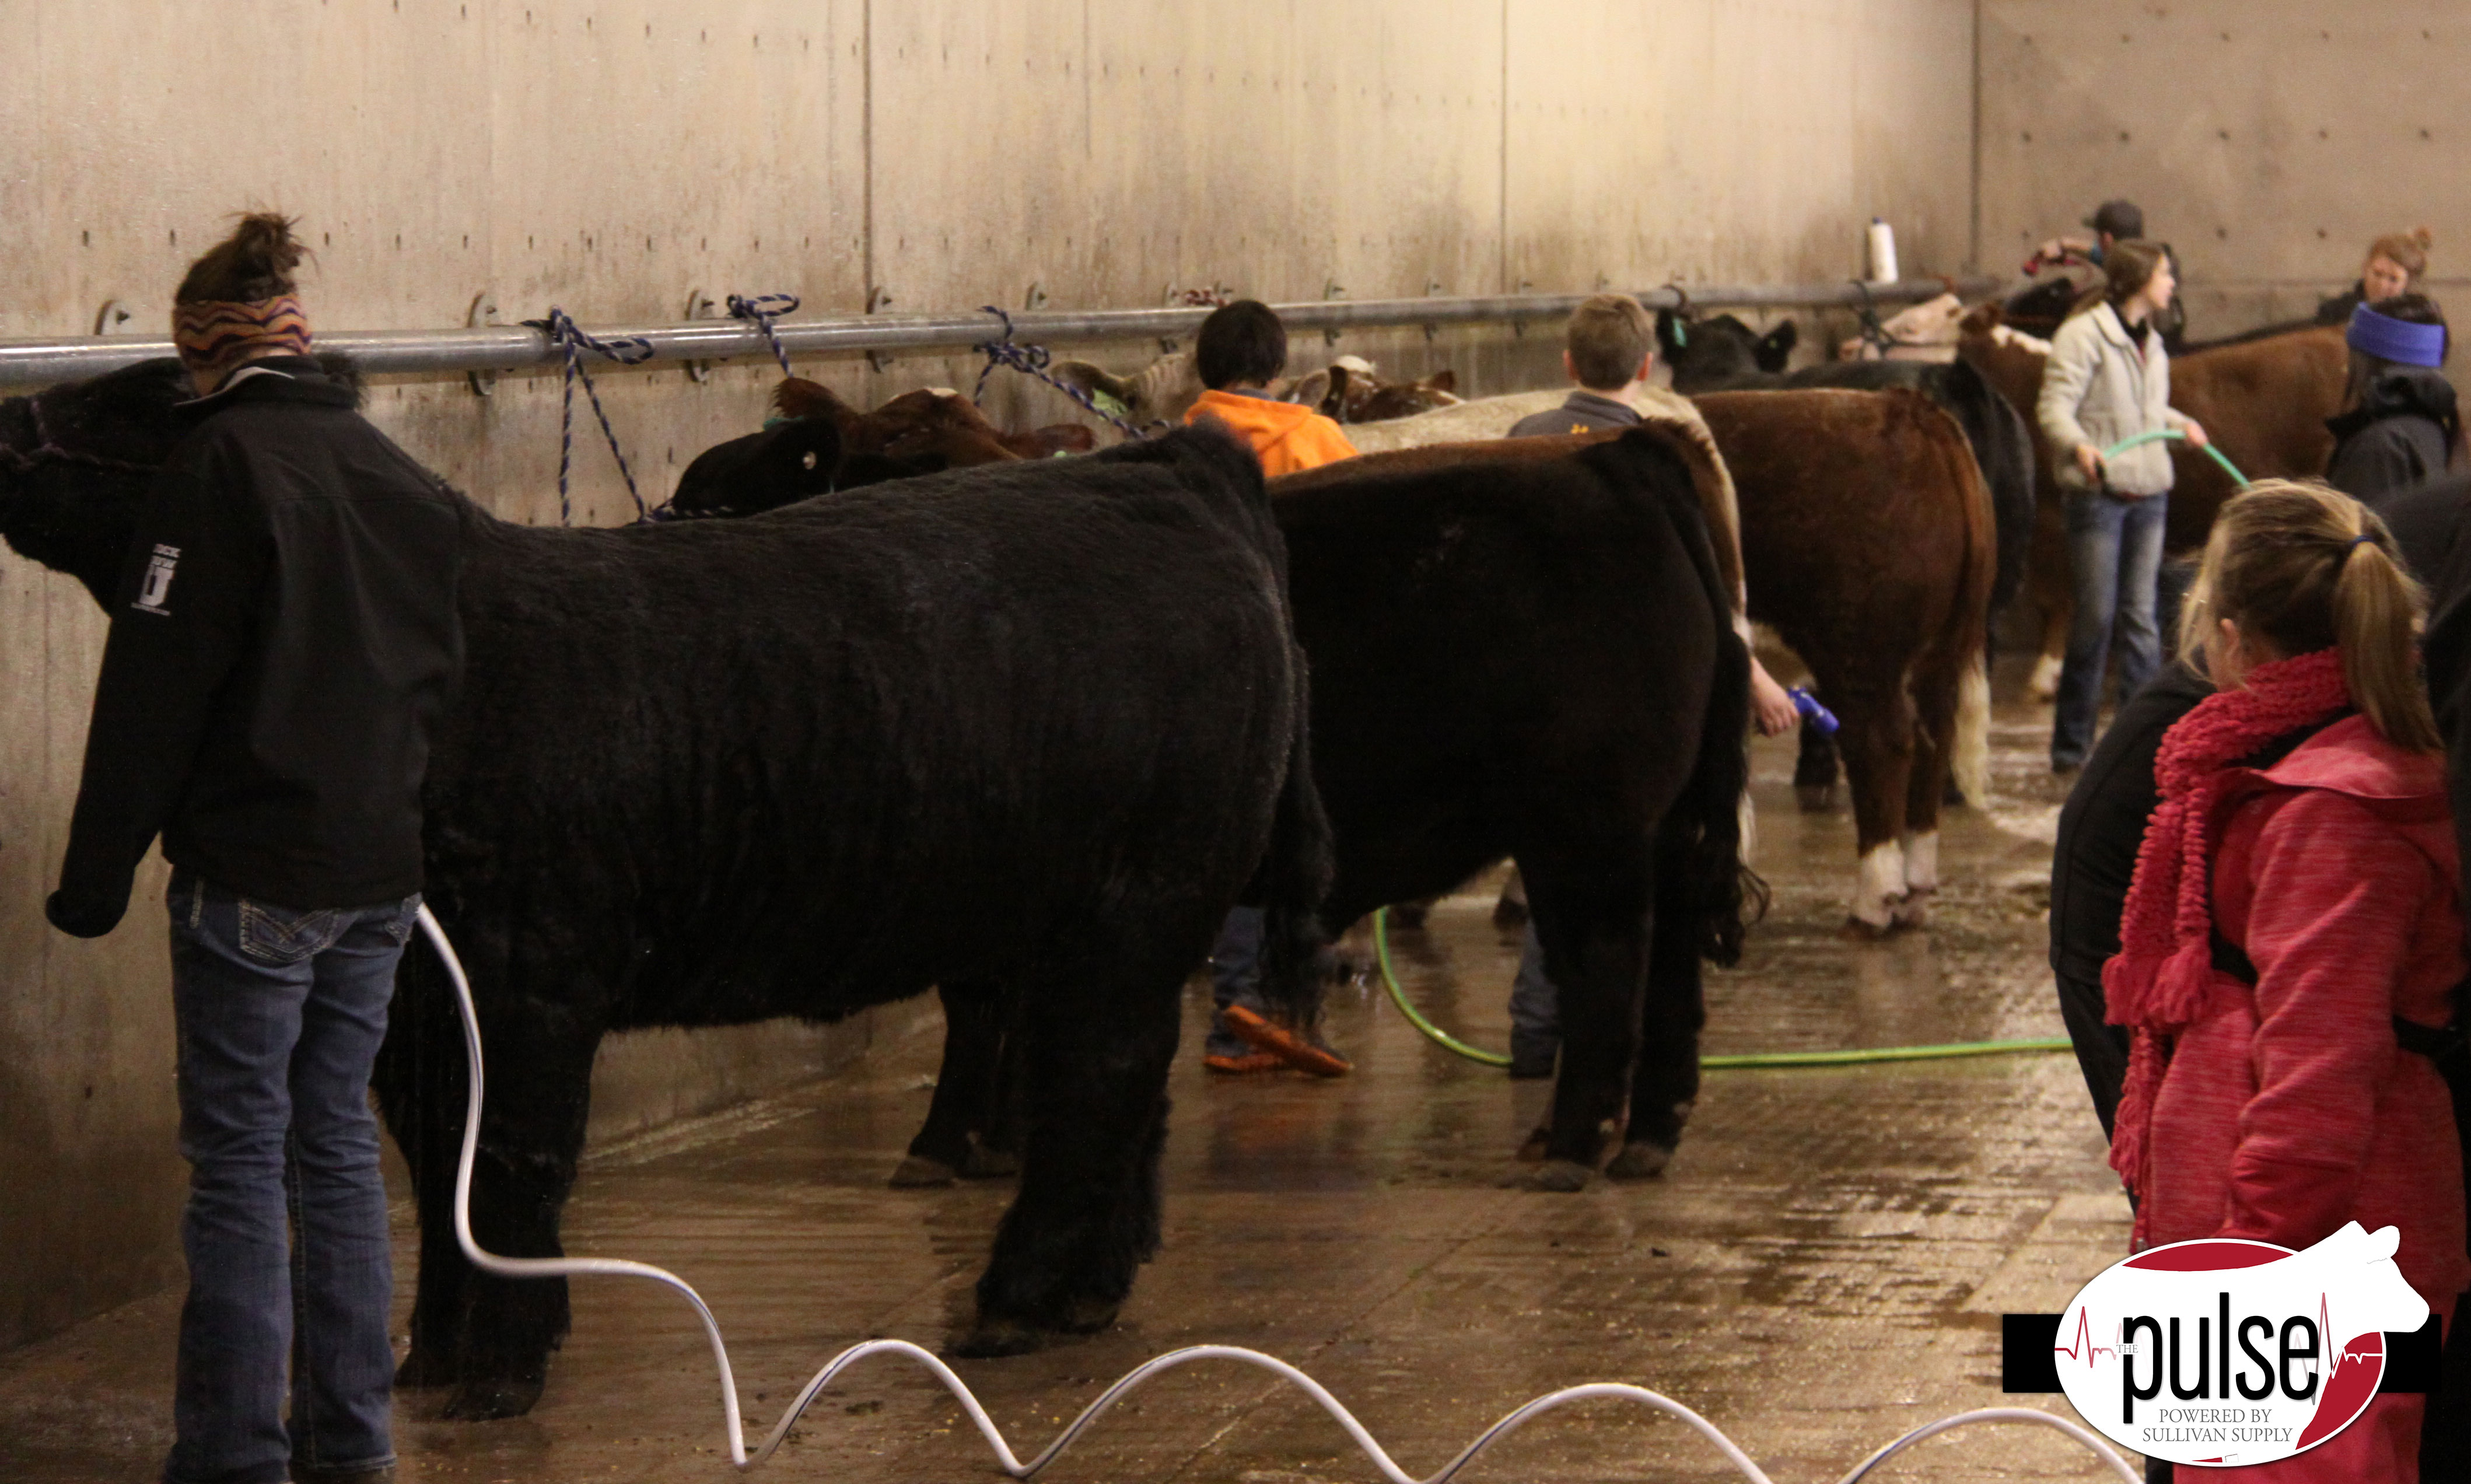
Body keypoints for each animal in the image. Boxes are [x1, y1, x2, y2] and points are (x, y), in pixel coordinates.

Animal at [0, 360, 1334, 1412]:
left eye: (143, 400)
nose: (10, 417)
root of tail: (1170, 468)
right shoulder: (417, 1007)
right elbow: (440, 1169)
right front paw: (436, 1357)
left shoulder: (530, 983)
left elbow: (510, 1163)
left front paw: (499, 1368)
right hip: (1108, 931)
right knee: (1120, 1096)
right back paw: (1081, 1295)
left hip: (1130, 911)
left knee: (1096, 1085)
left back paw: (1012, 1299)